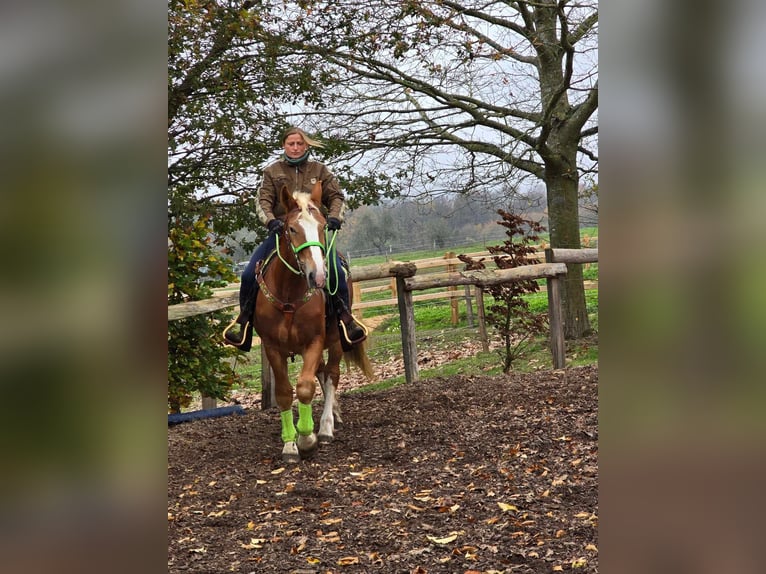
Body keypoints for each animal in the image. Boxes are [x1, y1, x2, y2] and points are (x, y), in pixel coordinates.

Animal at [255, 184, 376, 464]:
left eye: (322, 226)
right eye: (291, 229)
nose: (318, 275)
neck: (289, 296)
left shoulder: (314, 342)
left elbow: (305, 387)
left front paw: (307, 439)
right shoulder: (272, 348)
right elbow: (285, 393)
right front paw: (290, 445)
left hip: (336, 339)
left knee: (331, 375)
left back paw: (327, 426)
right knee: (322, 373)